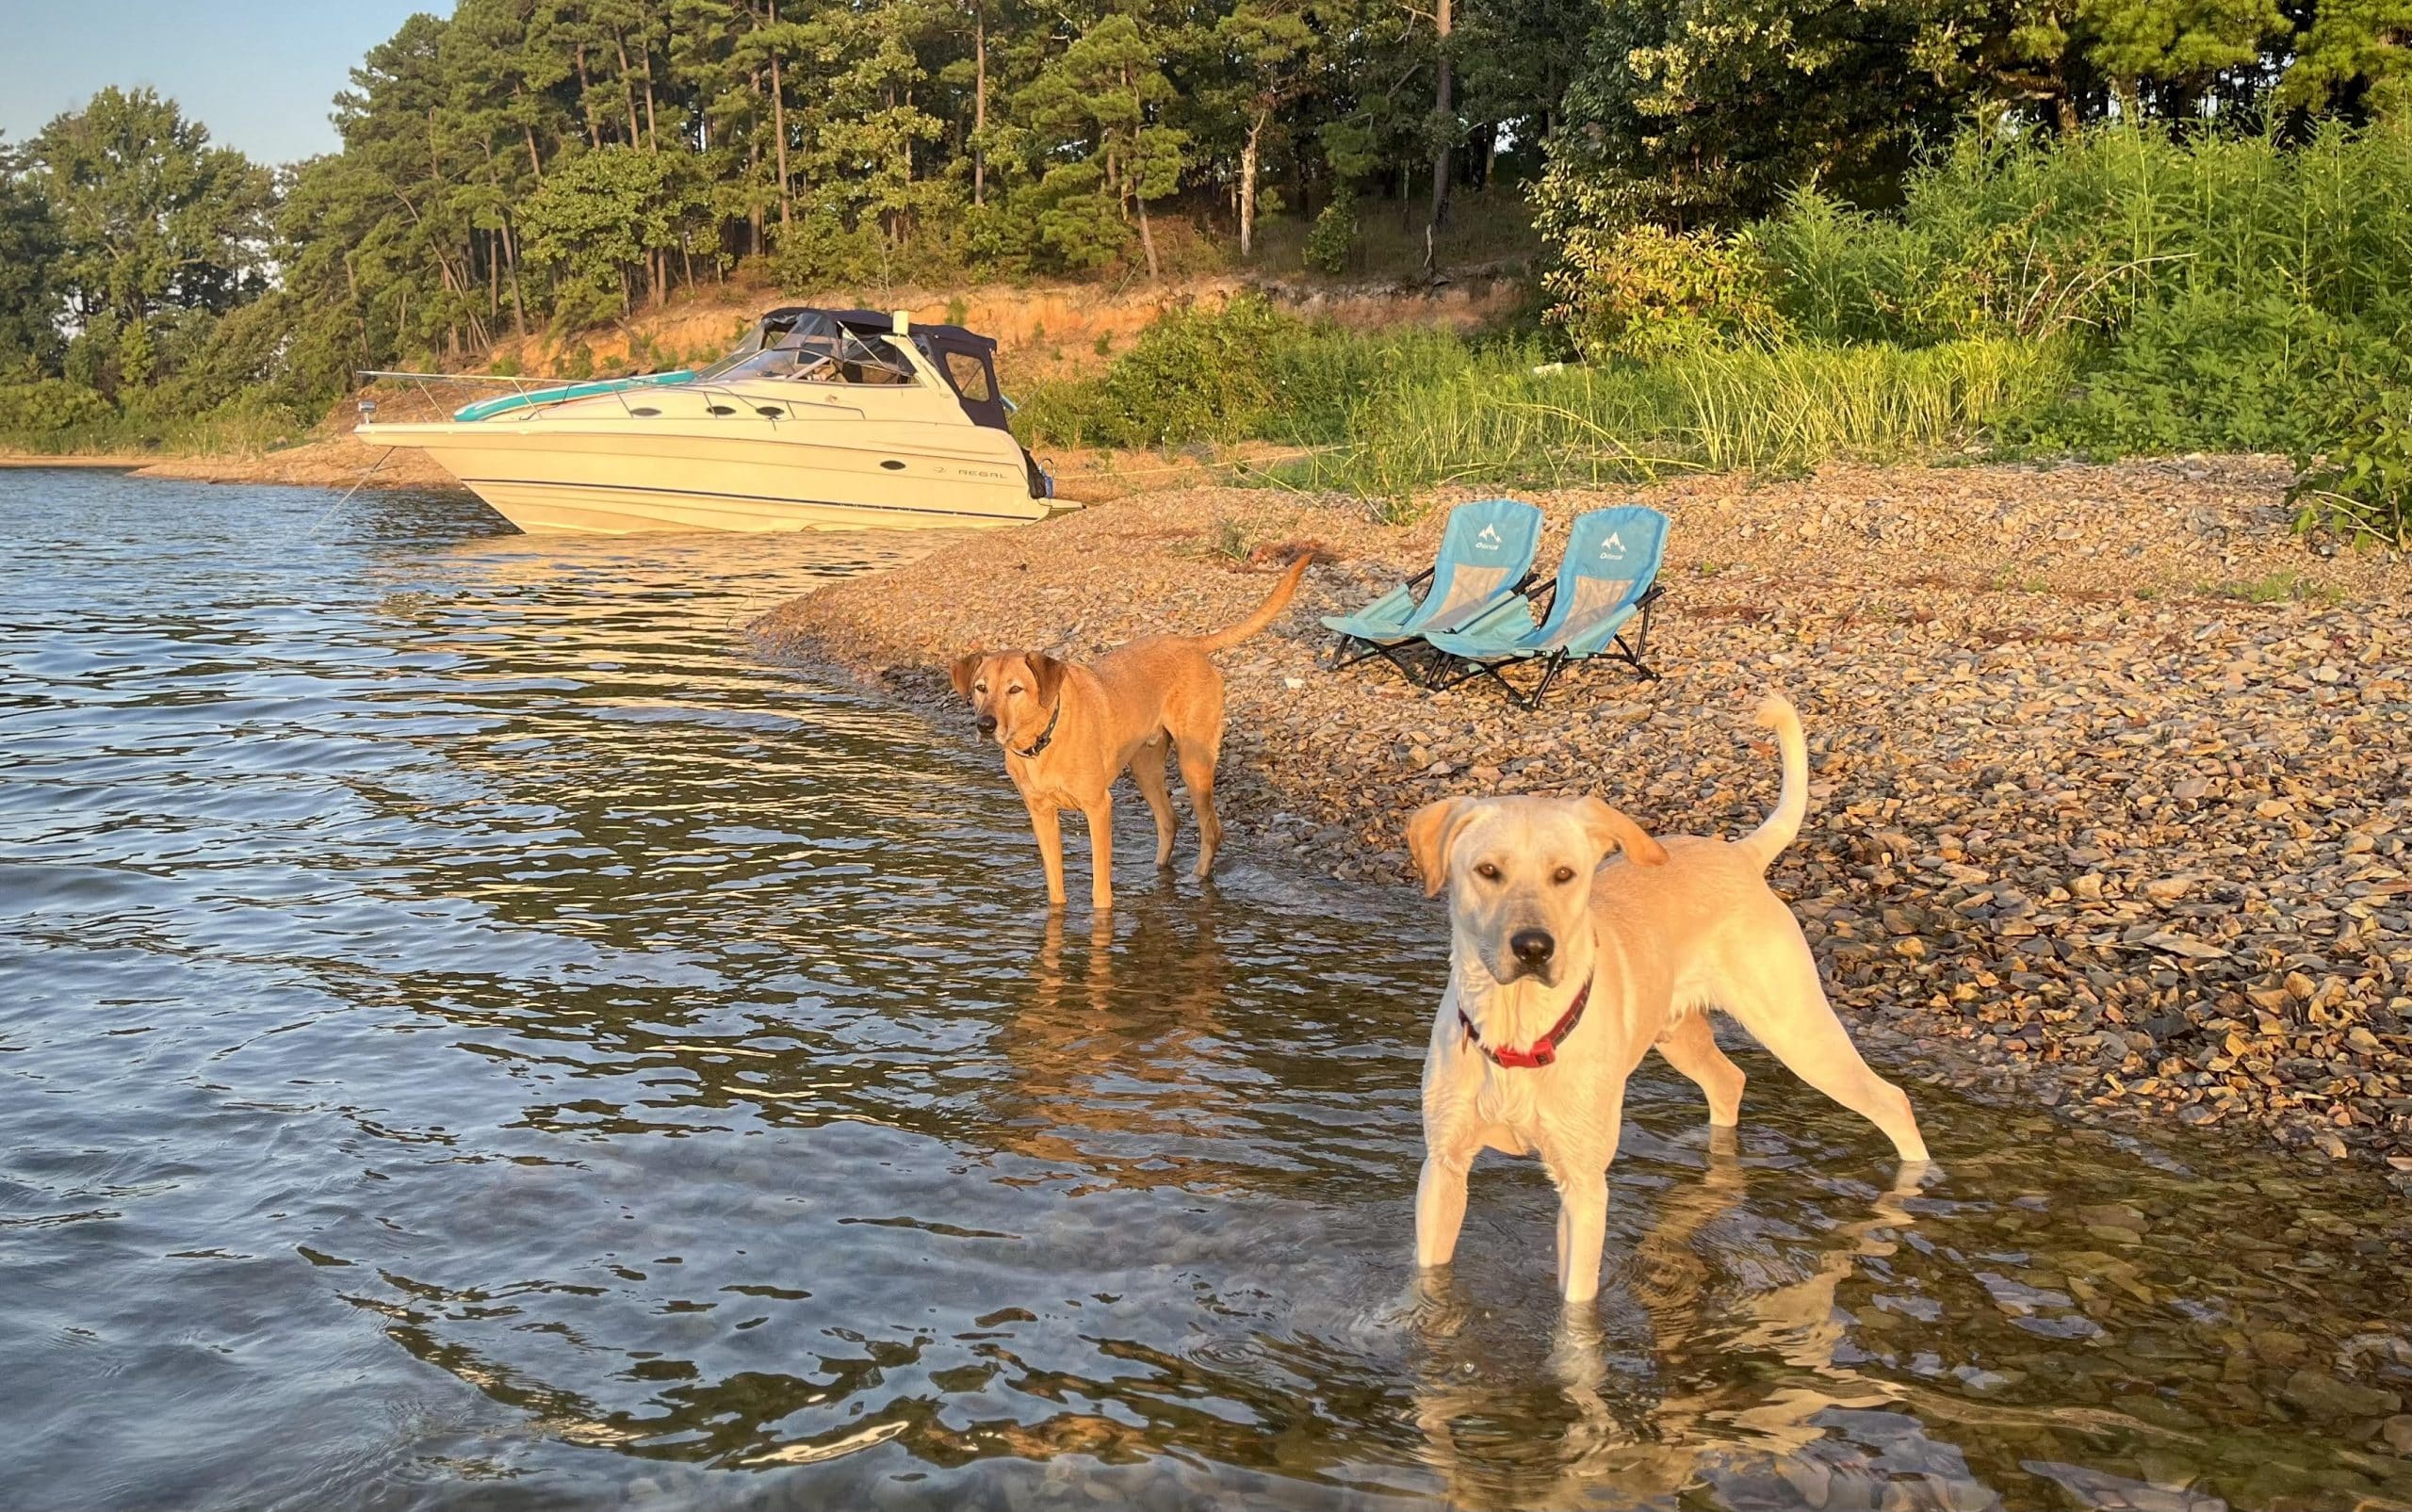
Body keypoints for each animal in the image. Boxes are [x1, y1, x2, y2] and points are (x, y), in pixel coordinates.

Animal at [950, 557, 1312, 911]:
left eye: (1015, 689)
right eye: (981, 688)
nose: (985, 725)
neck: (1042, 743)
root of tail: (1189, 643)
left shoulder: (1098, 807)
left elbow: (1100, 889)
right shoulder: (1040, 813)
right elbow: (1055, 887)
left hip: (1194, 762)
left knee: (1211, 829)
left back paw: (1196, 879)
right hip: (1145, 768)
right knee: (1169, 821)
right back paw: (1157, 874)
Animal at [1409, 694, 1930, 1311]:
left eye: (1565, 874)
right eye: (1487, 871)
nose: (1534, 947)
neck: (1519, 1031)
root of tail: (1741, 855)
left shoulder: (1584, 1187)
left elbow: (1576, 1307)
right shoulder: (1443, 1168)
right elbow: (1429, 1276)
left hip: (1798, 1029)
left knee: (1891, 1100)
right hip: (1680, 1035)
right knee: (1729, 1081)